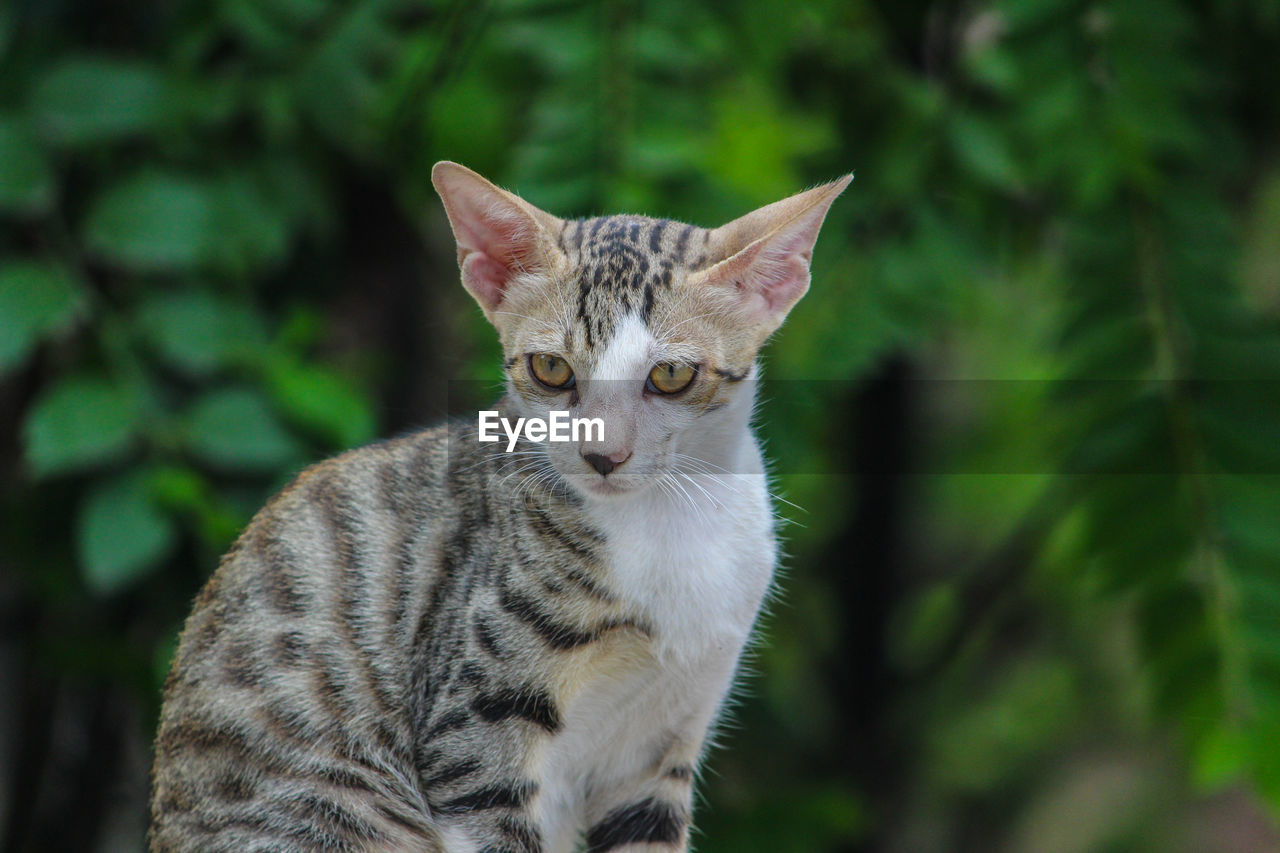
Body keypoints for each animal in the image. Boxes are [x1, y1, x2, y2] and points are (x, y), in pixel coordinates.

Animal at [147, 161, 849, 850]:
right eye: (550, 369)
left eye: (671, 375)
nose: (603, 454)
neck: (666, 525)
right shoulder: (474, 722)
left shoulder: (667, 731)